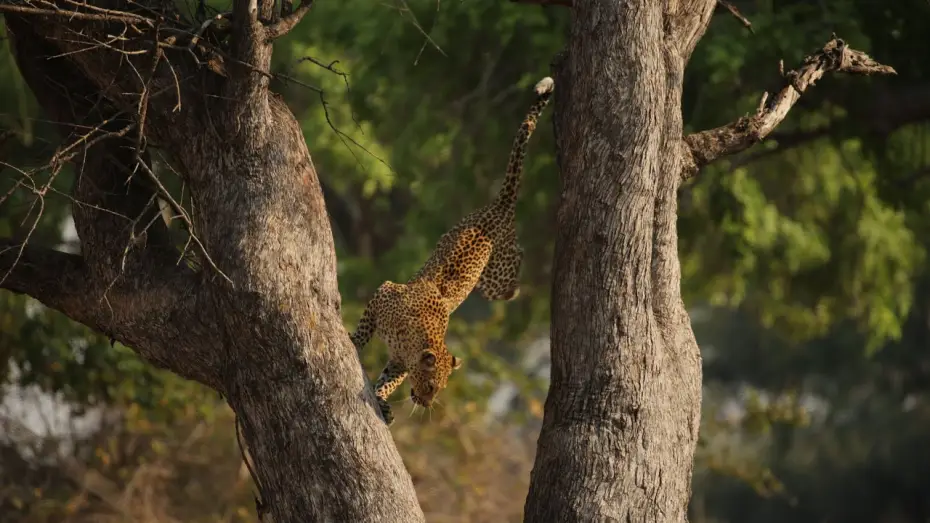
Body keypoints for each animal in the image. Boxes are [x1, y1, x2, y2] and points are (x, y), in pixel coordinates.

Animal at [351, 76, 555, 425]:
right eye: (432, 384)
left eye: (441, 387)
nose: (426, 402)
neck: (412, 337)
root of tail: (501, 206)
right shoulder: (384, 291)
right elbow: (365, 330)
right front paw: (355, 342)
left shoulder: (399, 361)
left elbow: (388, 381)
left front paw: (383, 400)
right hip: (491, 277)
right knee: (515, 264)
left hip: (490, 280)